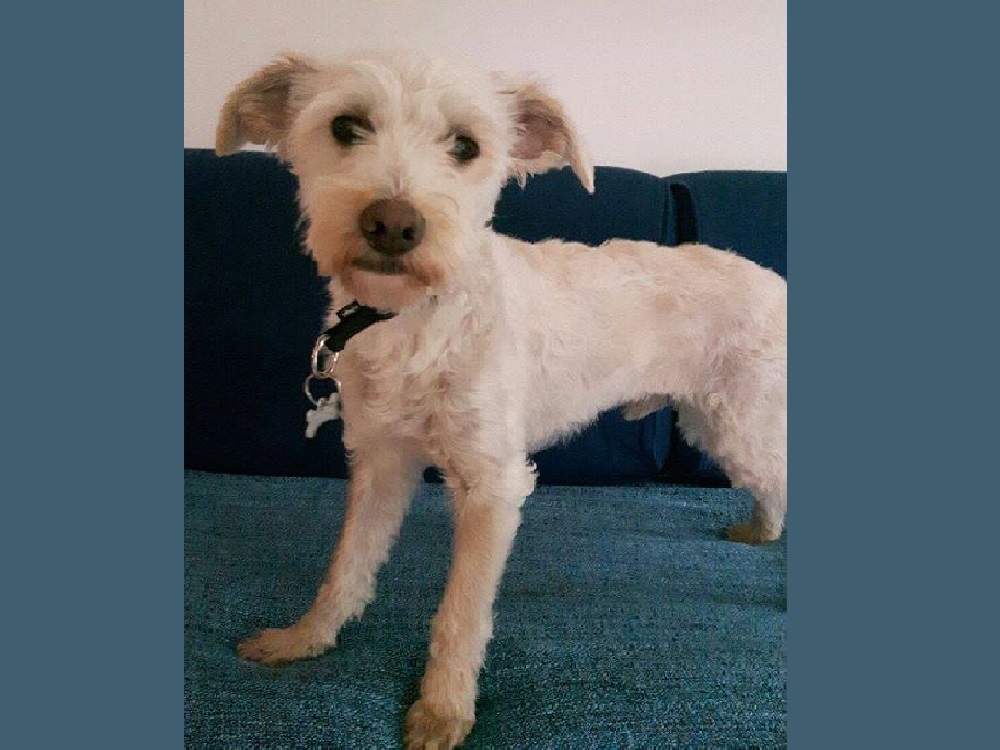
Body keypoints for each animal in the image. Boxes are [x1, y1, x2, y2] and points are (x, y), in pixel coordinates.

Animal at [215, 49, 787, 749]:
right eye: (346, 126)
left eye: (467, 145)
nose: (393, 224)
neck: (419, 319)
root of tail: (778, 283)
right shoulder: (382, 461)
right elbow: (346, 566)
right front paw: (306, 639)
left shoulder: (492, 484)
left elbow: (461, 612)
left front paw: (444, 709)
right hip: (716, 422)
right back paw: (760, 530)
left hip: (740, 423)